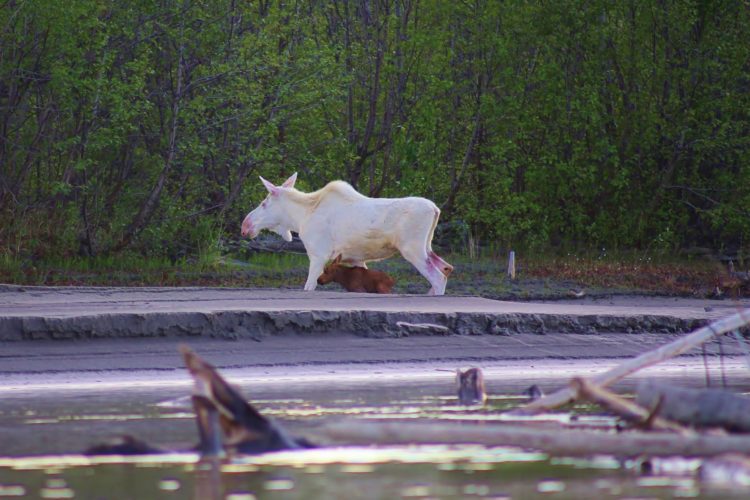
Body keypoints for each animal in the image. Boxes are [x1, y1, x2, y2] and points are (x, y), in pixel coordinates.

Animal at [242, 174, 452, 294]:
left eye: (264, 203)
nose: (245, 225)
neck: (299, 218)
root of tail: (435, 209)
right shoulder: (356, 259)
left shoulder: (318, 255)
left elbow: (309, 287)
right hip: (426, 246)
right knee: (446, 268)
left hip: (412, 249)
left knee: (438, 277)